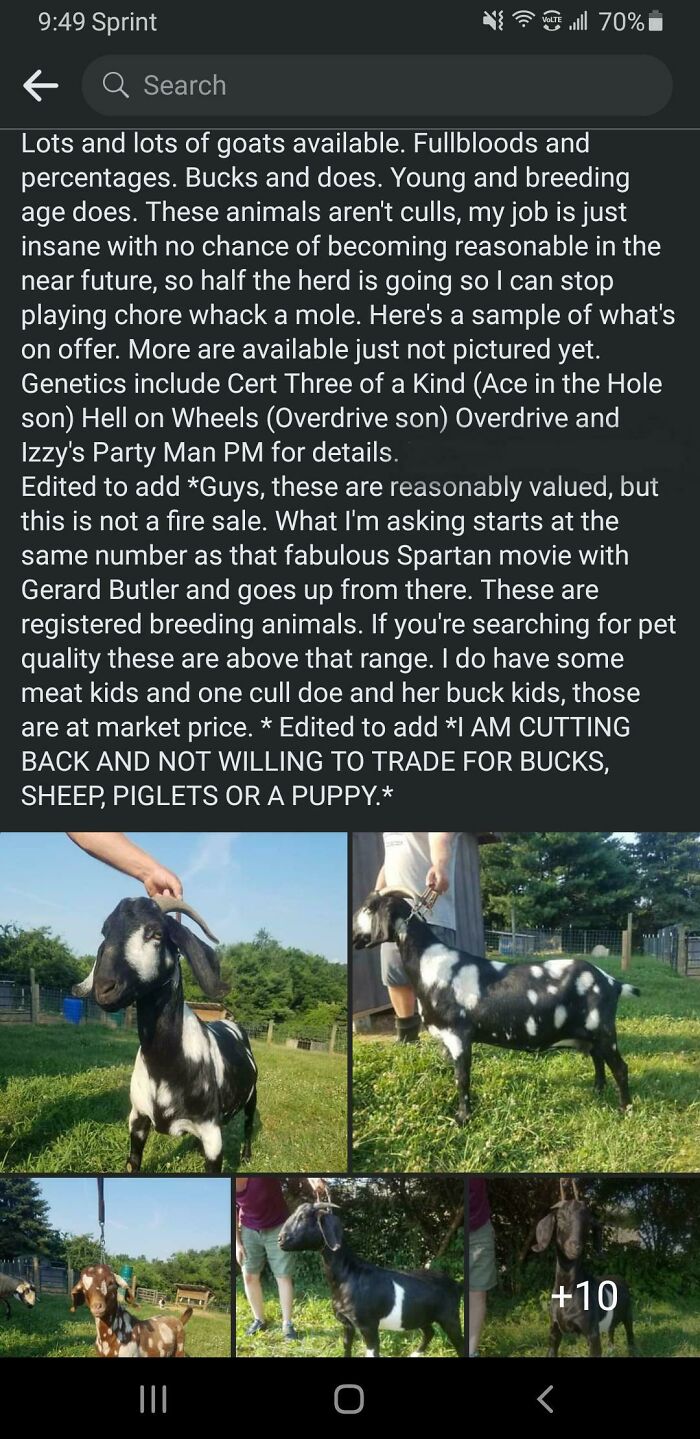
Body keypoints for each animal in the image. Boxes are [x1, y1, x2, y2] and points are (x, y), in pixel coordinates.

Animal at [73, 895, 257, 1173]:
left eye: (157, 933)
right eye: (105, 932)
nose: (103, 988)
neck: (165, 1064)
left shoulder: (212, 1134)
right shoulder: (137, 1118)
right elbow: (133, 1162)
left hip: (252, 1095)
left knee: (248, 1123)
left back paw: (246, 1156)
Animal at [278, 1202, 463, 1358]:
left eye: (303, 1217)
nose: (280, 1239)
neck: (349, 1274)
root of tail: (455, 1284)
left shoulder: (368, 1326)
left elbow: (372, 1352)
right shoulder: (347, 1323)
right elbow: (346, 1345)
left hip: (450, 1317)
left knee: (460, 1343)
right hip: (420, 1315)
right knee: (429, 1332)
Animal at [352, 889, 640, 1123]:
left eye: (368, 908)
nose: (353, 936)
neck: (430, 963)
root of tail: (611, 982)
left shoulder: (459, 1035)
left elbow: (462, 1078)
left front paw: (462, 1118)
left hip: (603, 1031)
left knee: (620, 1068)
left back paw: (625, 1109)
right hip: (590, 1034)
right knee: (598, 1059)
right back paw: (597, 1090)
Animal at [523, 1182, 636, 1358]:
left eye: (588, 1223)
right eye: (560, 1218)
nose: (575, 1246)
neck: (568, 1290)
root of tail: (619, 1278)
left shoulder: (592, 1334)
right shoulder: (554, 1330)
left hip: (628, 1314)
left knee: (630, 1334)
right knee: (611, 1330)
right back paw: (611, 1349)